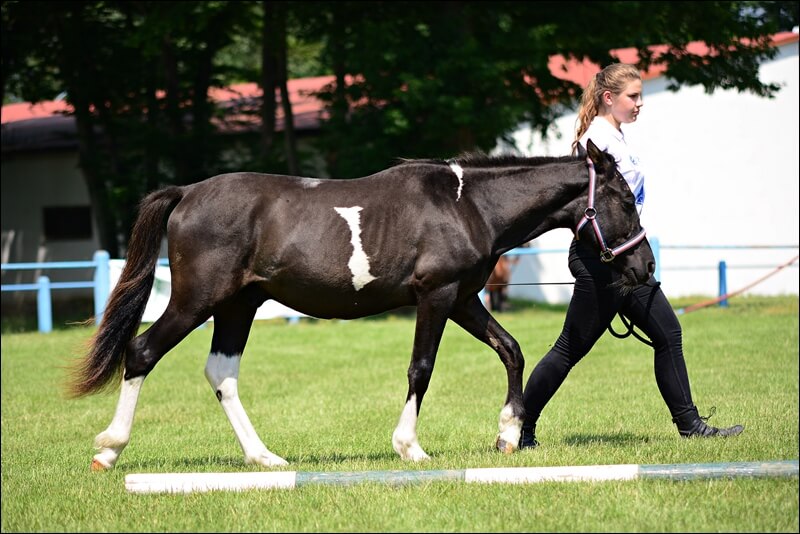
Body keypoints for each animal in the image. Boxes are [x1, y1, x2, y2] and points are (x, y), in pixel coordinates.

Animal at [70, 140, 656, 472]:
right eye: (627, 202)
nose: (645, 268)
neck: (469, 206)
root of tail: (187, 193)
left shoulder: (464, 299)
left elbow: (511, 349)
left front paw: (508, 434)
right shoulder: (436, 296)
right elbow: (422, 368)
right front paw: (410, 447)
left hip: (238, 306)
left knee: (222, 374)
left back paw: (264, 457)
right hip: (197, 301)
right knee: (141, 352)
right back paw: (108, 450)